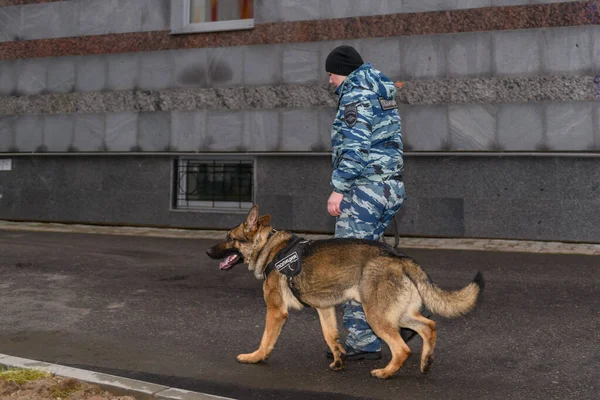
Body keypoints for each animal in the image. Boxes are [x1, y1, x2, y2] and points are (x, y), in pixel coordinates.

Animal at [206, 205, 482, 380]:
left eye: (229, 237)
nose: (207, 251)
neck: (270, 248)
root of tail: (400, 258)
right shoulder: (325, 308)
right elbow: (331, 336)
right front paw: (339, 360)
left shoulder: (276, 311)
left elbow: (266, 340)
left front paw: (255, 357)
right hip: (397, 314)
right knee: (429, 326)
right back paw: (426, 362)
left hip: (376, 316)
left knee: (403, 348)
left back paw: (386, 373)